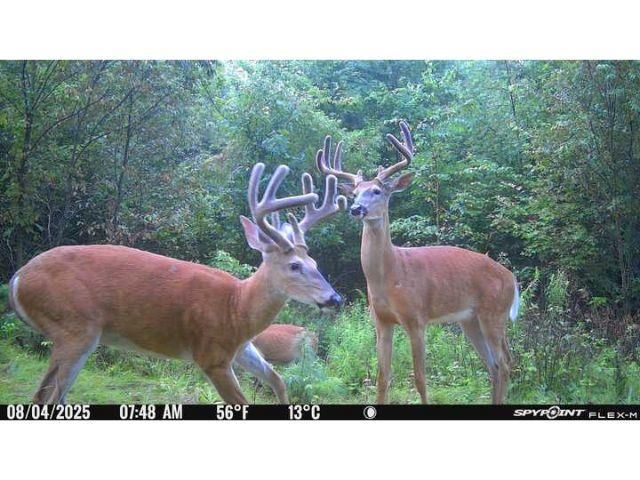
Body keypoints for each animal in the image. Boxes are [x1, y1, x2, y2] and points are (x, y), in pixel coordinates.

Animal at [7, 161, 346, 405]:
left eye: (315, 263)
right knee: (45, 397)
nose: (335, 298)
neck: (237, 309)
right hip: (75, 327)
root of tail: (17, 279)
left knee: (48, 396)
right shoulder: (210, 354)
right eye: (295, 265)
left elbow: (278, 381)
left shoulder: (241, 348)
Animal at [316, 121, 519, 404]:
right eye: (354, 192)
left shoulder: (417, 318)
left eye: (377, 191)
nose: (356, 208)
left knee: (505, 362)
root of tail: (511, 277)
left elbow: (420, 379)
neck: (390, 274)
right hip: (470, 319)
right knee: (494, 364)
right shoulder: (381, 321)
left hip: (495, 312)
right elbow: (382, 379)